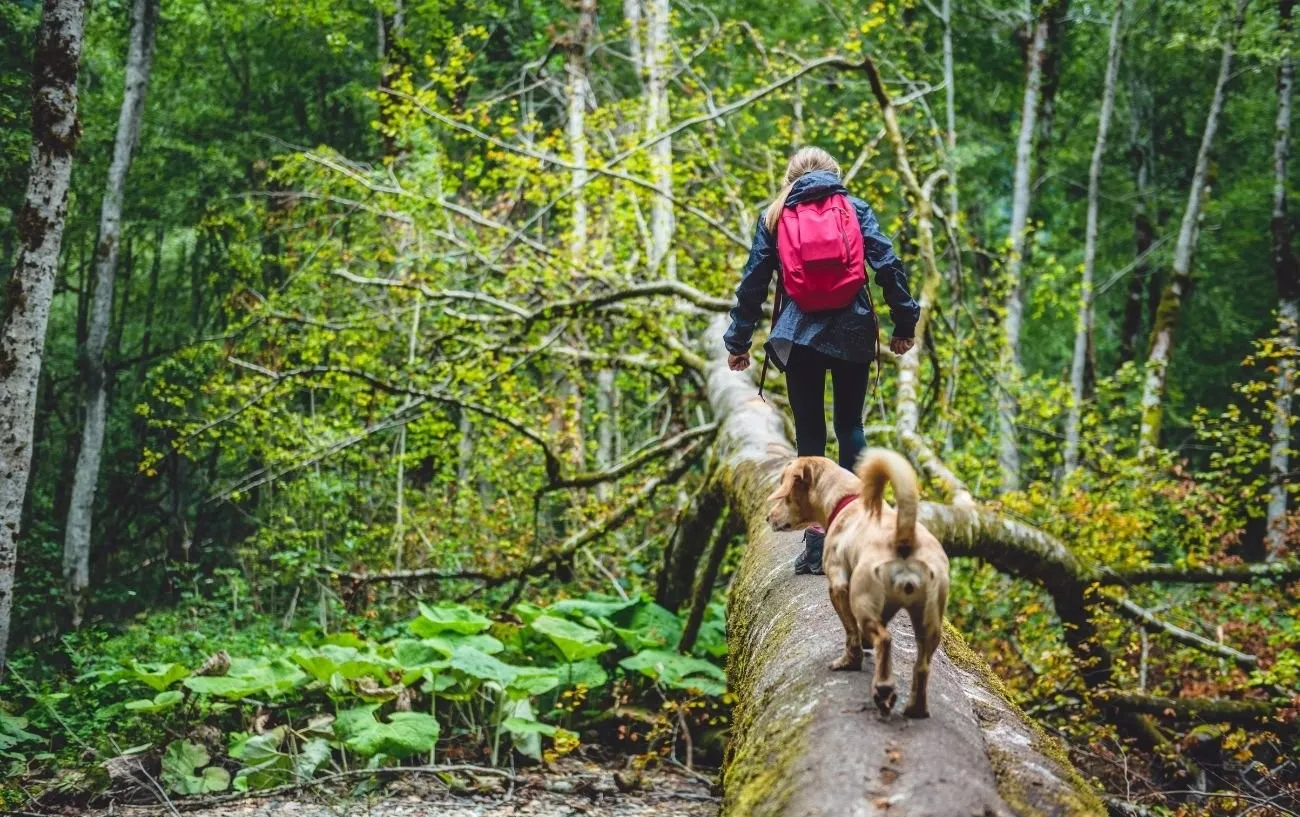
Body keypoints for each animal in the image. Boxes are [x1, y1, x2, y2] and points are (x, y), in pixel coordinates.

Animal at [764, 450, 951, 718]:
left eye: (786, 496)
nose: (768, 517)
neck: (846, 499)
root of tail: (904, 537)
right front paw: (863, 645)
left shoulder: (838, 587)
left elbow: (851, 632)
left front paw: (851, 660)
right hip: (930, 622)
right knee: (922, 665)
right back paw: (915, 709)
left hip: (862, 600)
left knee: (884, 639)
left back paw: (882, 688)